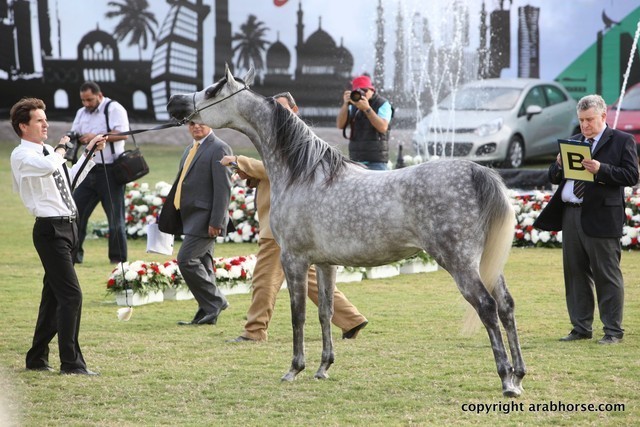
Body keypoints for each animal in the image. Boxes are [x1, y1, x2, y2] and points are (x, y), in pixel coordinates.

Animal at [166, 66, 526, 397]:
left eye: (212, 90)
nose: (174, 102)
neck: (303, 174)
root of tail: (477, 172)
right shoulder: (326, 263)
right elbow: (325, 311)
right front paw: (323, 367)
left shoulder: (294, 260)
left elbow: (298, 314)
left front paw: (294, 368)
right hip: (486, 263)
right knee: (507, 305)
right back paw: (519, 375)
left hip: (460, 262)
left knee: (487, 307)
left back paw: (506, 380)